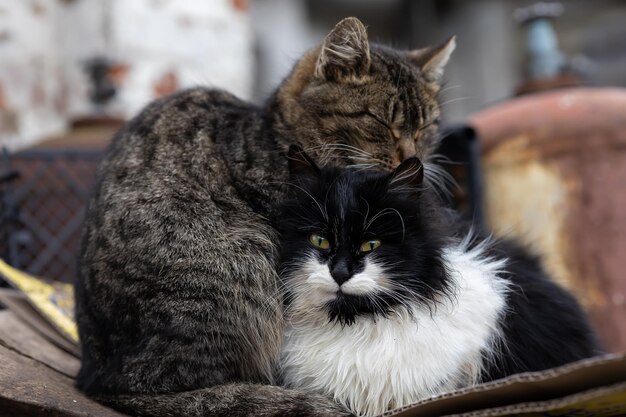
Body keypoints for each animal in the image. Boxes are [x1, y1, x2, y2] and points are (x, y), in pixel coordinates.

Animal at [74, 17, 454, 416]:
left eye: (426, 128)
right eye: (379, 121)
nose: (413, 157)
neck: (279, 136)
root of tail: (97, 376)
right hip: (242, 264)